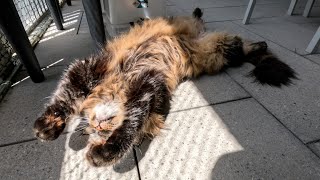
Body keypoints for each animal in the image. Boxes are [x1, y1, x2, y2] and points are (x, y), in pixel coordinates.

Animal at [33, 8, 296, 166]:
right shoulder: (85, 73)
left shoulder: (143, 85)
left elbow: (131, 122)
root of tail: (195, 36)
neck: (117, 84)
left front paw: (105, 153)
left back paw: (261, 44)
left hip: (220, 49)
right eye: (94, 130)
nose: (98, 126)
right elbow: (63, 99)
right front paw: (49, 127)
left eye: (105, 131)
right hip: (214, 48)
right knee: (218, 32)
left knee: (242, 46)